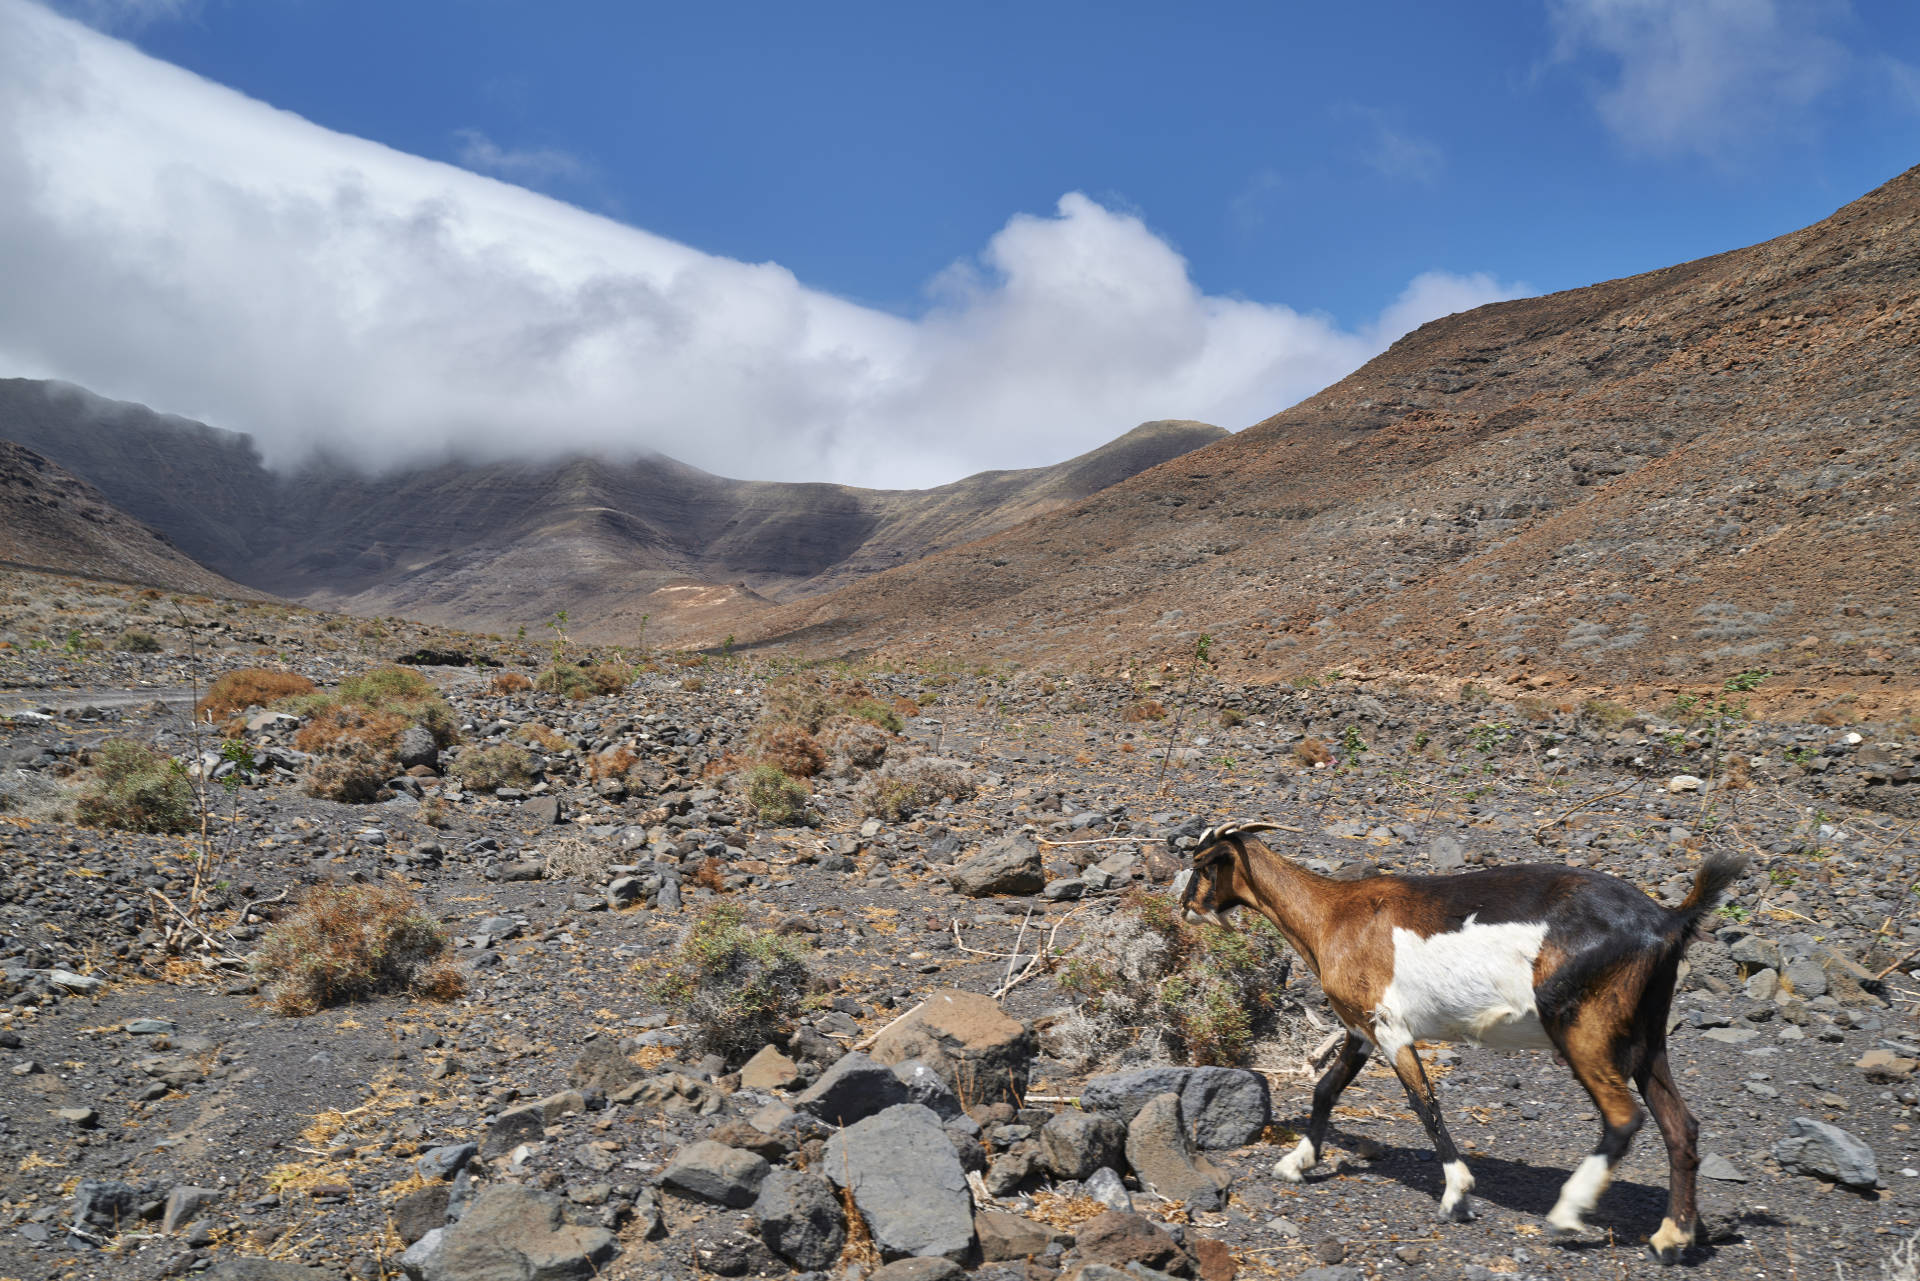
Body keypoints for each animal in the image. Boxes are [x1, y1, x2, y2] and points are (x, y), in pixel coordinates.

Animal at [1159, 821, 1751, 1259]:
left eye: (1201, 865)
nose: (1183, 908)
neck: (1332, 915)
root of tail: (1668, 919)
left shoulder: (1389, 1027)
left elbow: (1425, 1104)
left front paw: (1456, 1193)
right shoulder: (1359, 1027)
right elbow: (1326, 1089)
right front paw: (1296, 1163)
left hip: (1582, 1026)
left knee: (1624, 1118)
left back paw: (1566, 1214)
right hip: (1647, 1034)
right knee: (1681, 1126)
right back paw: (1672, 1238)